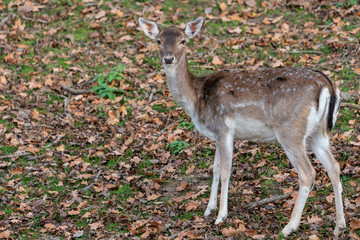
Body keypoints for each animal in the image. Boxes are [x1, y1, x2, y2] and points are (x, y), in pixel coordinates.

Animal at [139, 16, 346, 238]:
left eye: (183, 41)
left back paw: (289, 227)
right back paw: (339, 225)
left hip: (291, 131)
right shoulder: (217, 133)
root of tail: (326, 85)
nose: (168, 58)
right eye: (158, 41)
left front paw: (221, 216)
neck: (196, 99)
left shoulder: (224, 129)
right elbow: (215, 168)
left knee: (308, 174)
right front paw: (208, 209)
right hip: (318, 134)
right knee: (334, 167)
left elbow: (225, 171)